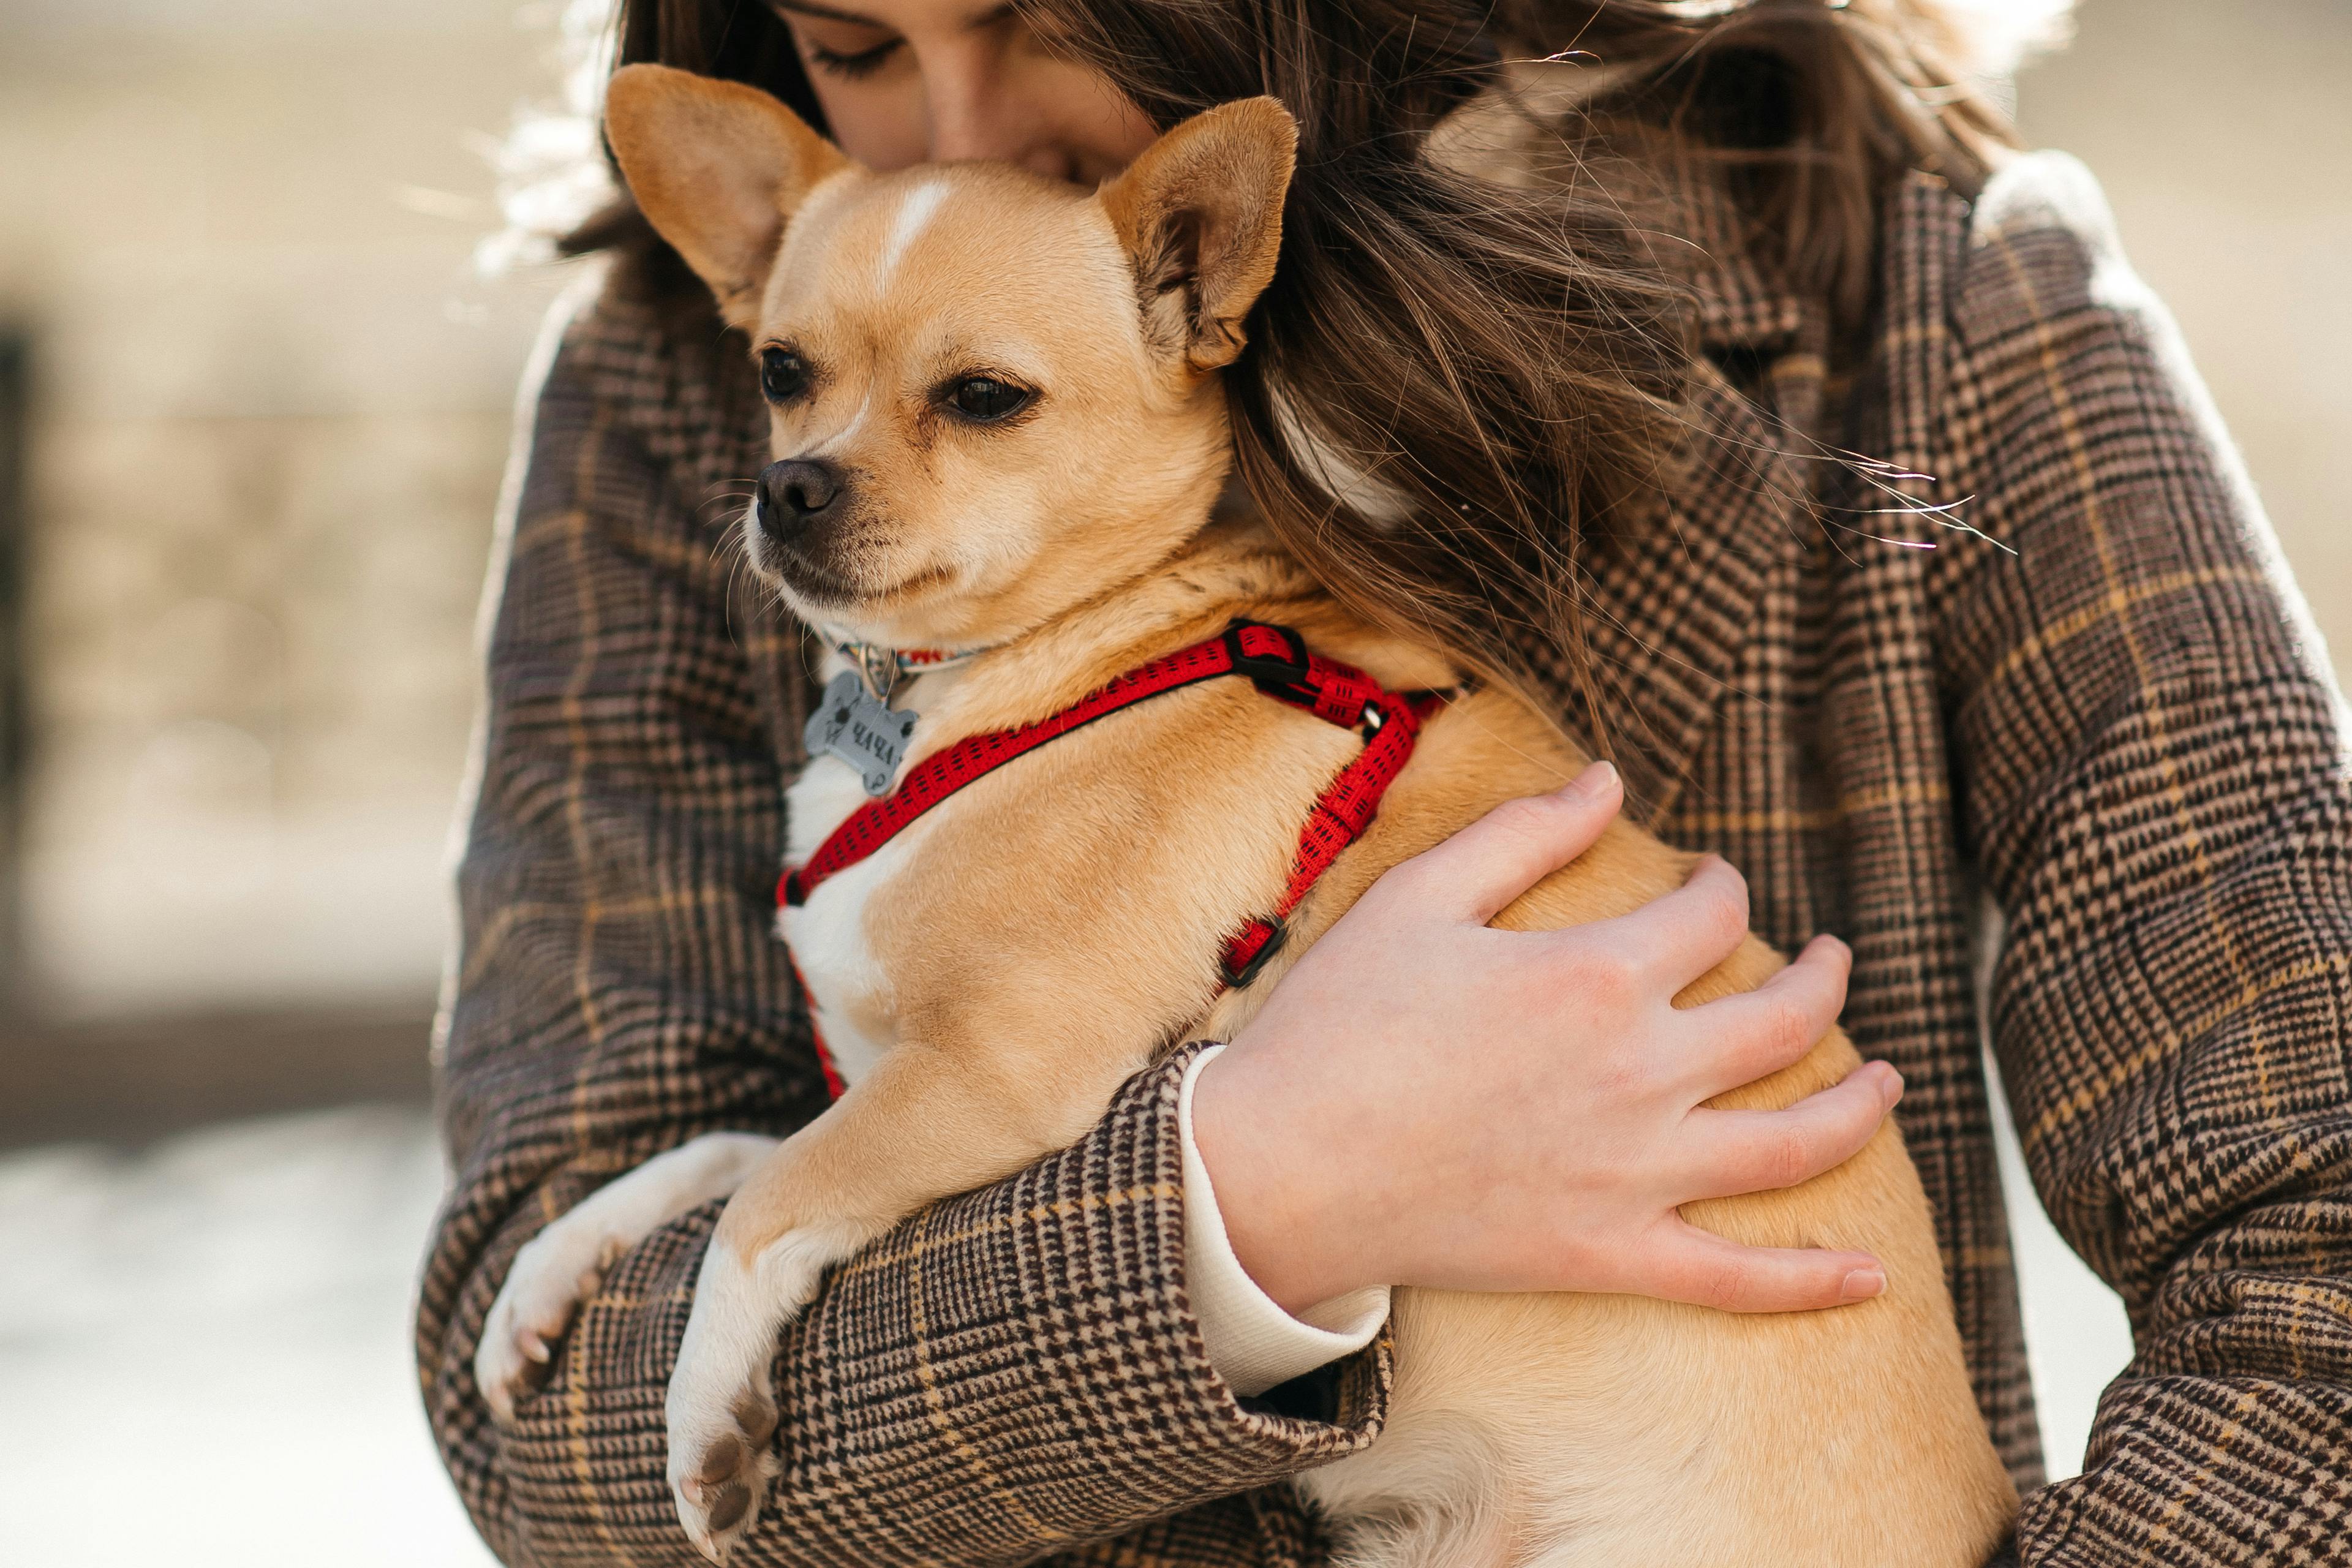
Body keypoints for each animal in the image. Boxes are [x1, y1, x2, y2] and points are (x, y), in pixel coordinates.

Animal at [477, 64, 2022, 1568]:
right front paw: (552, 1271)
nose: (786, 483)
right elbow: (715, 1155)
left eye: (985, 398)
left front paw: (703, 1418)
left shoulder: (993, 1075)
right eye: (779, 373)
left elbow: (767, 1198)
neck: (1022, 674)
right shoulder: (891, 1078)